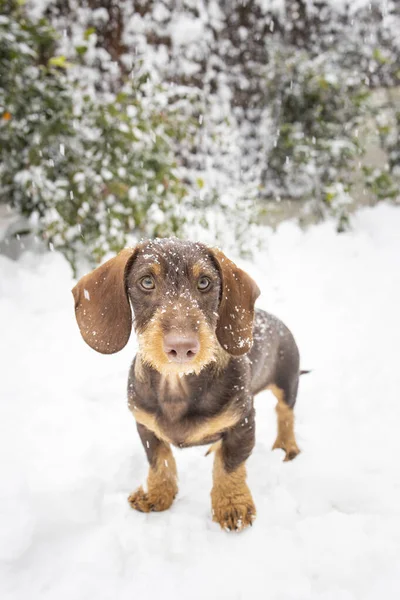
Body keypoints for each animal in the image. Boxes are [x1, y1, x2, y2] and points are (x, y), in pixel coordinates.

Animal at [72, 237, 302, 532]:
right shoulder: (145, 426)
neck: (176, 384)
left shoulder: (243, 423)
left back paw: (286, 445)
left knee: (285, 412)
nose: (182, 347)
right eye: (147, 281)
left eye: (204, 282)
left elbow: (228, 466)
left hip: (287, 381)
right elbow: (160, 461)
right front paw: (156, 495)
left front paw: (233, 505)